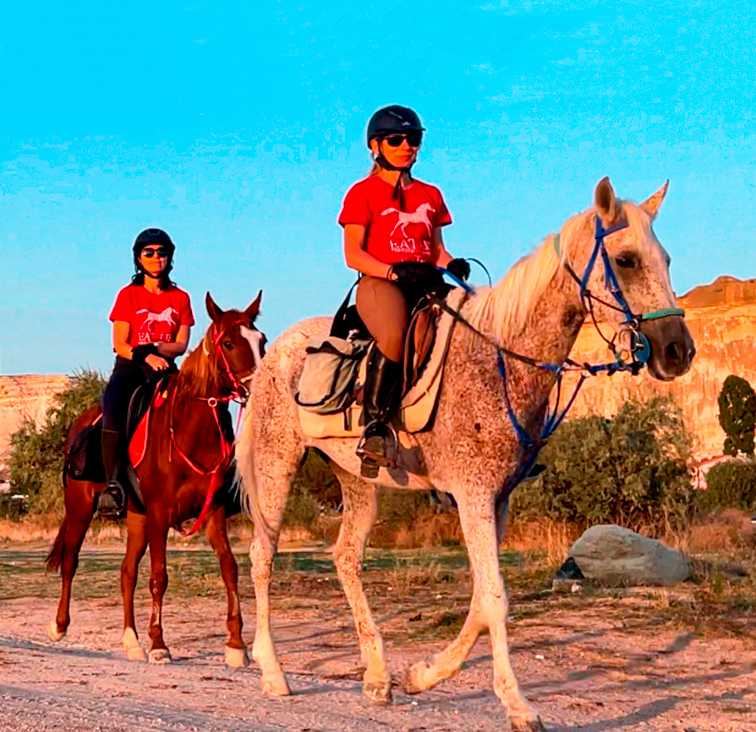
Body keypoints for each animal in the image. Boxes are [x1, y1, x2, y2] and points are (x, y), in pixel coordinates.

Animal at [46, 292, 265, 668]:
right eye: (228, 342)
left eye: (261, 340)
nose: (263, 384)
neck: (193, 433)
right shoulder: (161, 514)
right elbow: (159, 576)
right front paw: (160, 644)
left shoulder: (214, 512)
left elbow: (229, 568)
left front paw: (236, 645)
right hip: (80, 508)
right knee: (71, 561)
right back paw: (60, 626)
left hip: (137, 516)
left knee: (126, 572)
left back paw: (131, 641)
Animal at [235, 178, 695, 731]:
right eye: (626, 261)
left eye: (666, 259)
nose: (678, 352)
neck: (499, 361)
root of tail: (273, 353)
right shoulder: (473, 495)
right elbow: (495, 600)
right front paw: (518, 705)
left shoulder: (497, 500)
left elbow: (481, 600)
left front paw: (422, 675)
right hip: (276, 466)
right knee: (262, 557)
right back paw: (272, 671)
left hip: (357, 480)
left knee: (345, 558)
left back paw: (377, 675)